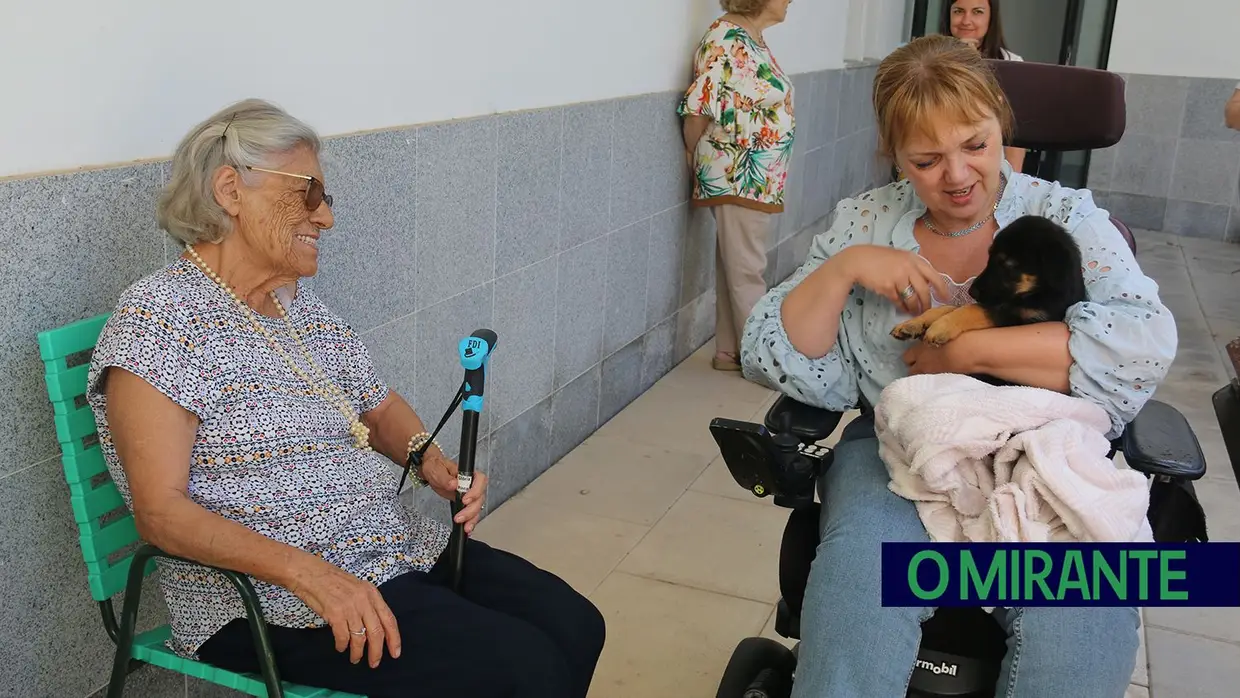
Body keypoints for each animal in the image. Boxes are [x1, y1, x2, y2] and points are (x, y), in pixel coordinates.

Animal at [892, 213, 1086, 344]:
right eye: (989, 257)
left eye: (1008, 264)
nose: (972, 291)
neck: (1037, 293)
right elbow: (949, 307)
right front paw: (913, 324)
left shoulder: (1026, 319)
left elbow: (974, 309)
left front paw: (941, 326)